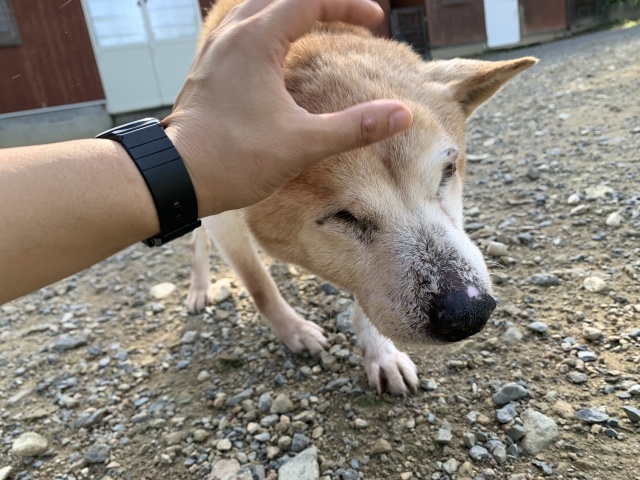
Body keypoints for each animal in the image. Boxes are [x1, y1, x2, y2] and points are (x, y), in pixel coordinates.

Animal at [186, 0, 537, 395]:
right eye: (343, 216)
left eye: (448, 171)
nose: (469, 313)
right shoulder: (223, 212)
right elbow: (259, 285)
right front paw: (296, 332)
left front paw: (381, 355)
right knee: (198, 242)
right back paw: (200, 288)